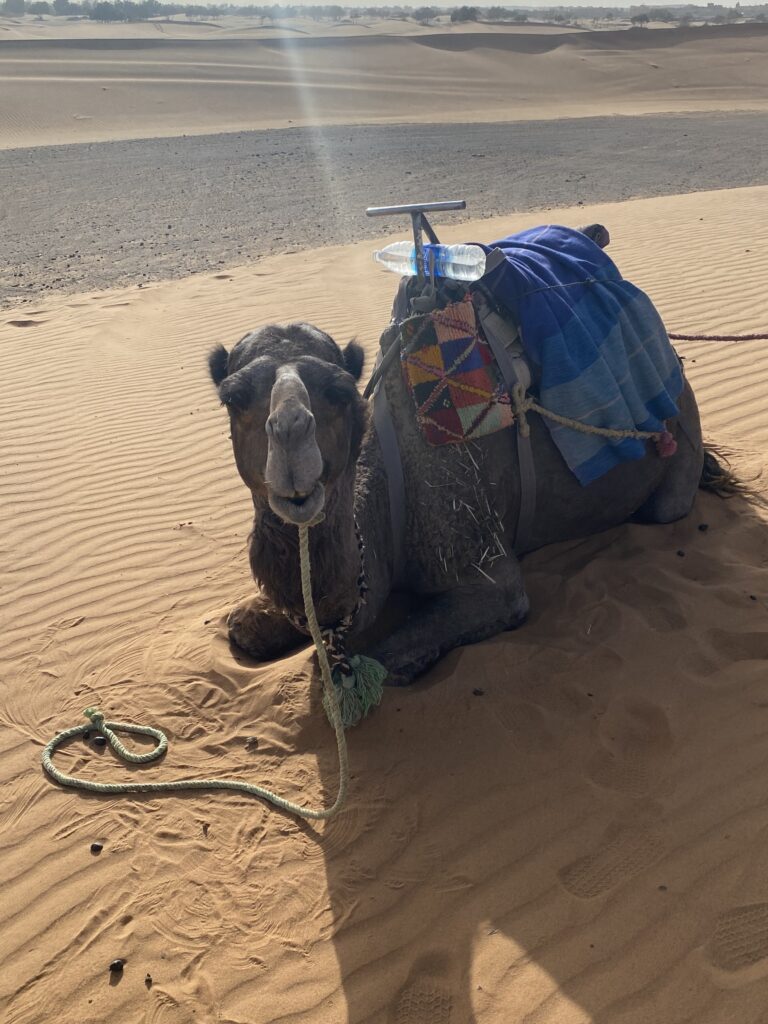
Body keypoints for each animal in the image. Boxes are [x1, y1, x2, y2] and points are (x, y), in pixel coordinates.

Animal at [208, 289, 715, 687]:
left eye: (339, 391)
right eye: (233, 398)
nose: (291, 436)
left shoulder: (482, 565)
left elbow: (384, 661)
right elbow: (243, 626)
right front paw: (255, 619)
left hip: (681, 440)